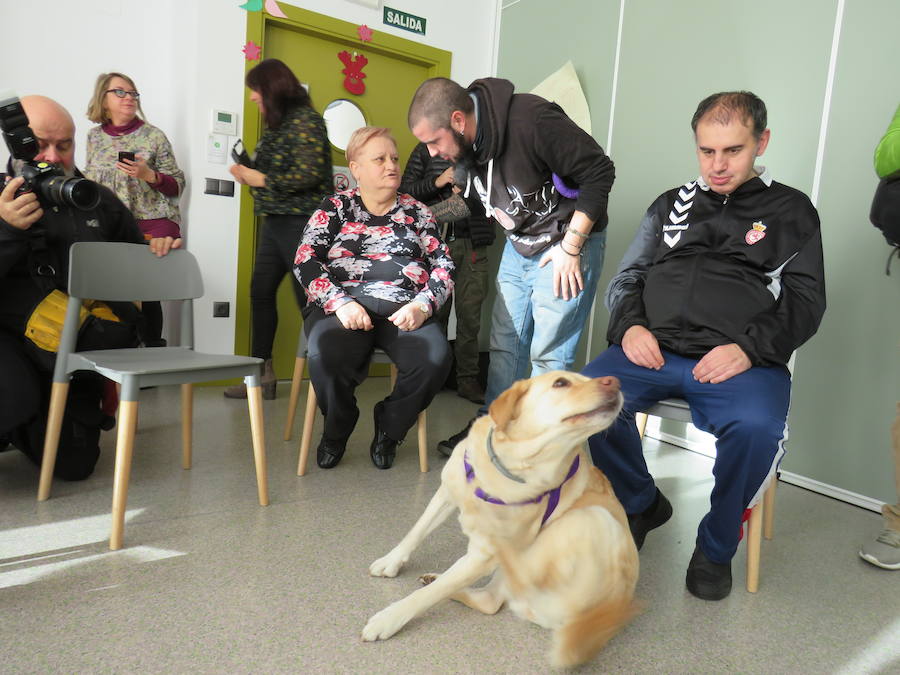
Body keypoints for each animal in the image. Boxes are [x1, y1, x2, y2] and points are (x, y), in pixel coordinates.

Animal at [360, 372, 640, 668]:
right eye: (561, 383)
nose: (615, 381)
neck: (509, 466)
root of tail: (606, 613)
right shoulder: (447, 490)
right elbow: (416, 531)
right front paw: (391, 561)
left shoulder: (483, 554)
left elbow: (427, 596)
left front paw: (389, 618)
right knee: (488, 600)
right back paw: (436, 577)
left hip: (590, 519)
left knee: (479, 589)